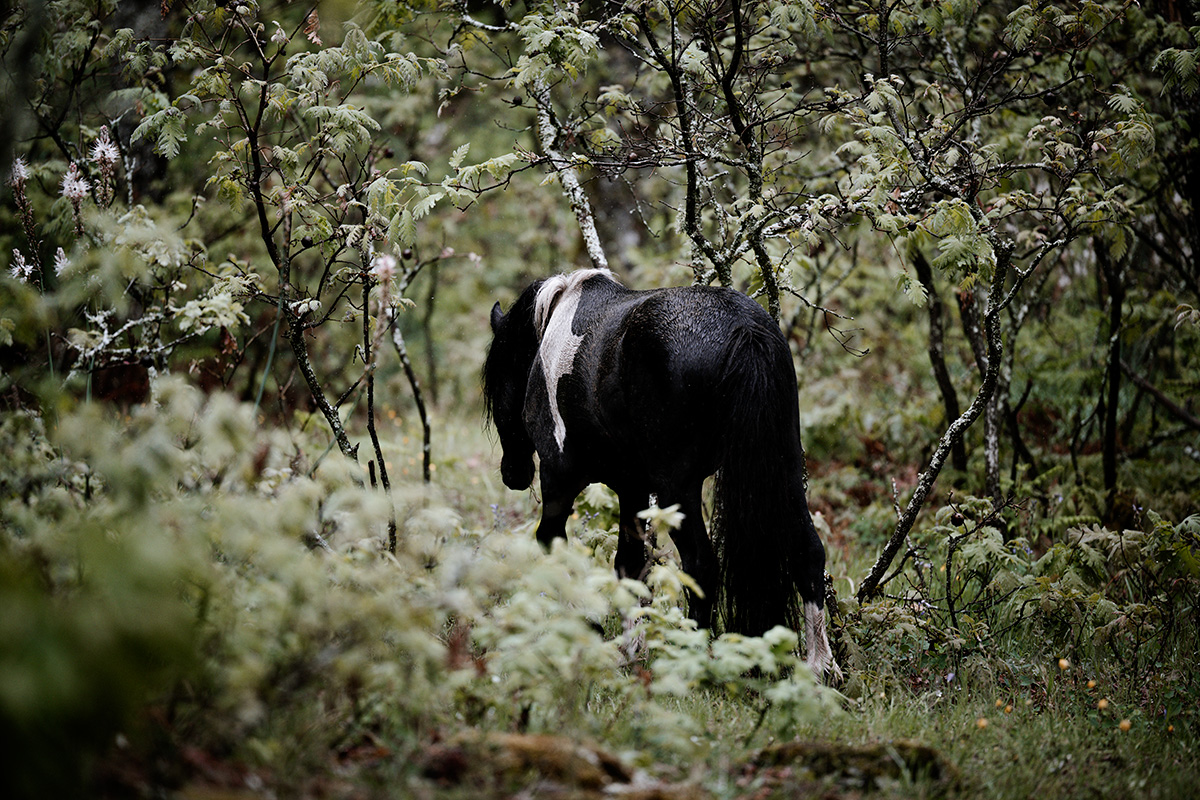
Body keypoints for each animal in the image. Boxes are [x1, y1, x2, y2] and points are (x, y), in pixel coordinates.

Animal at [483, 268, 839, 678]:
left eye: (498, 384)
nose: (512, 474)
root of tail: (745, 329)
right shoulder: (631, 488)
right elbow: (630, 566)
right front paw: (627, 650)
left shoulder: (560, 477)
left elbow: (554, 545)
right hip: (784, 469)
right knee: (808, 551)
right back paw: (819, 667)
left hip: (678, 489)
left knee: (701, 565)